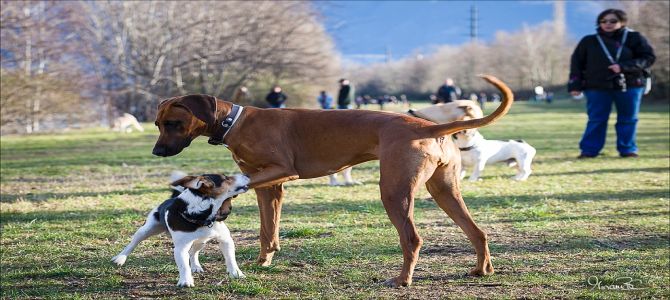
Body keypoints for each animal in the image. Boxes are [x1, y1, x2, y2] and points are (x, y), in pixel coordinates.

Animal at [111, 171, 251, 286]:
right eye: (227, 178)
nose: (248, 174)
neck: (201, 216)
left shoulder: (226, 240)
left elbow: (231, 259)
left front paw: (236, 273)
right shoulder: (180, 248)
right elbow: (184, 266)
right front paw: (186, 281)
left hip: (201, 242)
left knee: (193, 253)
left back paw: (196, 266)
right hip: (145, 230)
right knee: (132, 244)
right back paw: (120, 258)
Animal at [154, 74, 516, 286]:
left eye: (173, 123)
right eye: (158, 123)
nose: (157, 151)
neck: (235, 121)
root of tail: (428, 126)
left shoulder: (278, 171)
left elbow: (232, 188)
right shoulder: (271, 187)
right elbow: (267, 229)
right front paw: (264, 260)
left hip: (394, 192)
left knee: (412, 239)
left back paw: (401, 280)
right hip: (444, 190)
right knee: (477, 231)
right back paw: (482, 270)